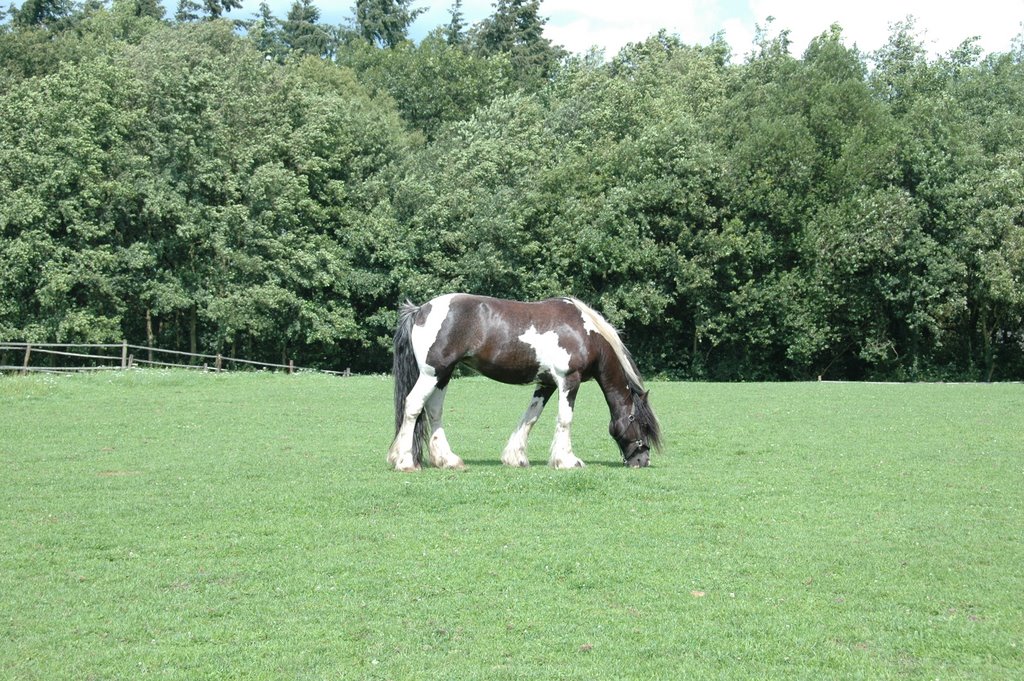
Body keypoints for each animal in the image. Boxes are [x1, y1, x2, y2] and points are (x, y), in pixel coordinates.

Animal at [385, 292, 663, 473]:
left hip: (442, 375)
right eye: (641, 424)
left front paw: (515, 457)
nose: (643, 461)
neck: (585, 332)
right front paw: (568, 461)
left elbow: (530, 418)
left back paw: (447, 460)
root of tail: (420, 310)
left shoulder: (546, 383)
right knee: (413, 406)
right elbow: (565, 419)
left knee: (433, 411)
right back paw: (405, 462)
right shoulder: (568, 380)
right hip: (432, 373)